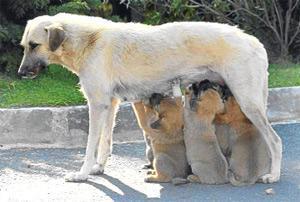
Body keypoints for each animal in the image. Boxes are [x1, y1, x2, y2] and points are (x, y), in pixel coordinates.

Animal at [18, 13, 282, 183]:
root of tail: (255, 42)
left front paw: (81, 174)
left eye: (34, 45)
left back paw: (274, 175)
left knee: (276, 140)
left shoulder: (97, 104)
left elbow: (91, 144)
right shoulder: (110, 104)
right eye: (24, 46)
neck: (89, 40)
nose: (20, 73)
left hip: (248, 102)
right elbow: (105, 142)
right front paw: (98, 168)